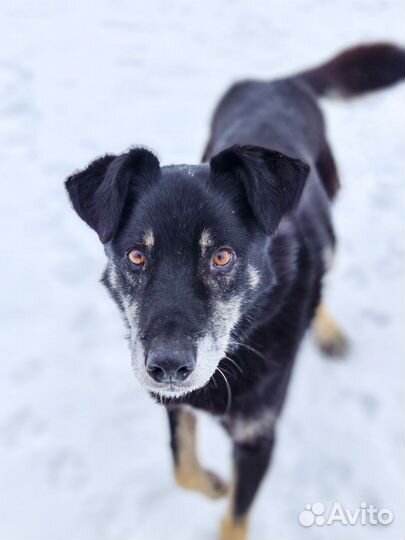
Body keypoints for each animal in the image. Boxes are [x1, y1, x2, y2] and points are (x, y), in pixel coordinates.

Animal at [64, 42, 402, 540]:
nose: (168, 367)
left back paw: (325, 329)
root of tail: (277, 81)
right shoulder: (177, 403)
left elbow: (235, 518)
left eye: (222, 256)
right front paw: (213, 484)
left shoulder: (258, 437)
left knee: (324, 269)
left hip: (332, 216)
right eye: (136, 256)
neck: (239, 348)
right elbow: (181, 467)